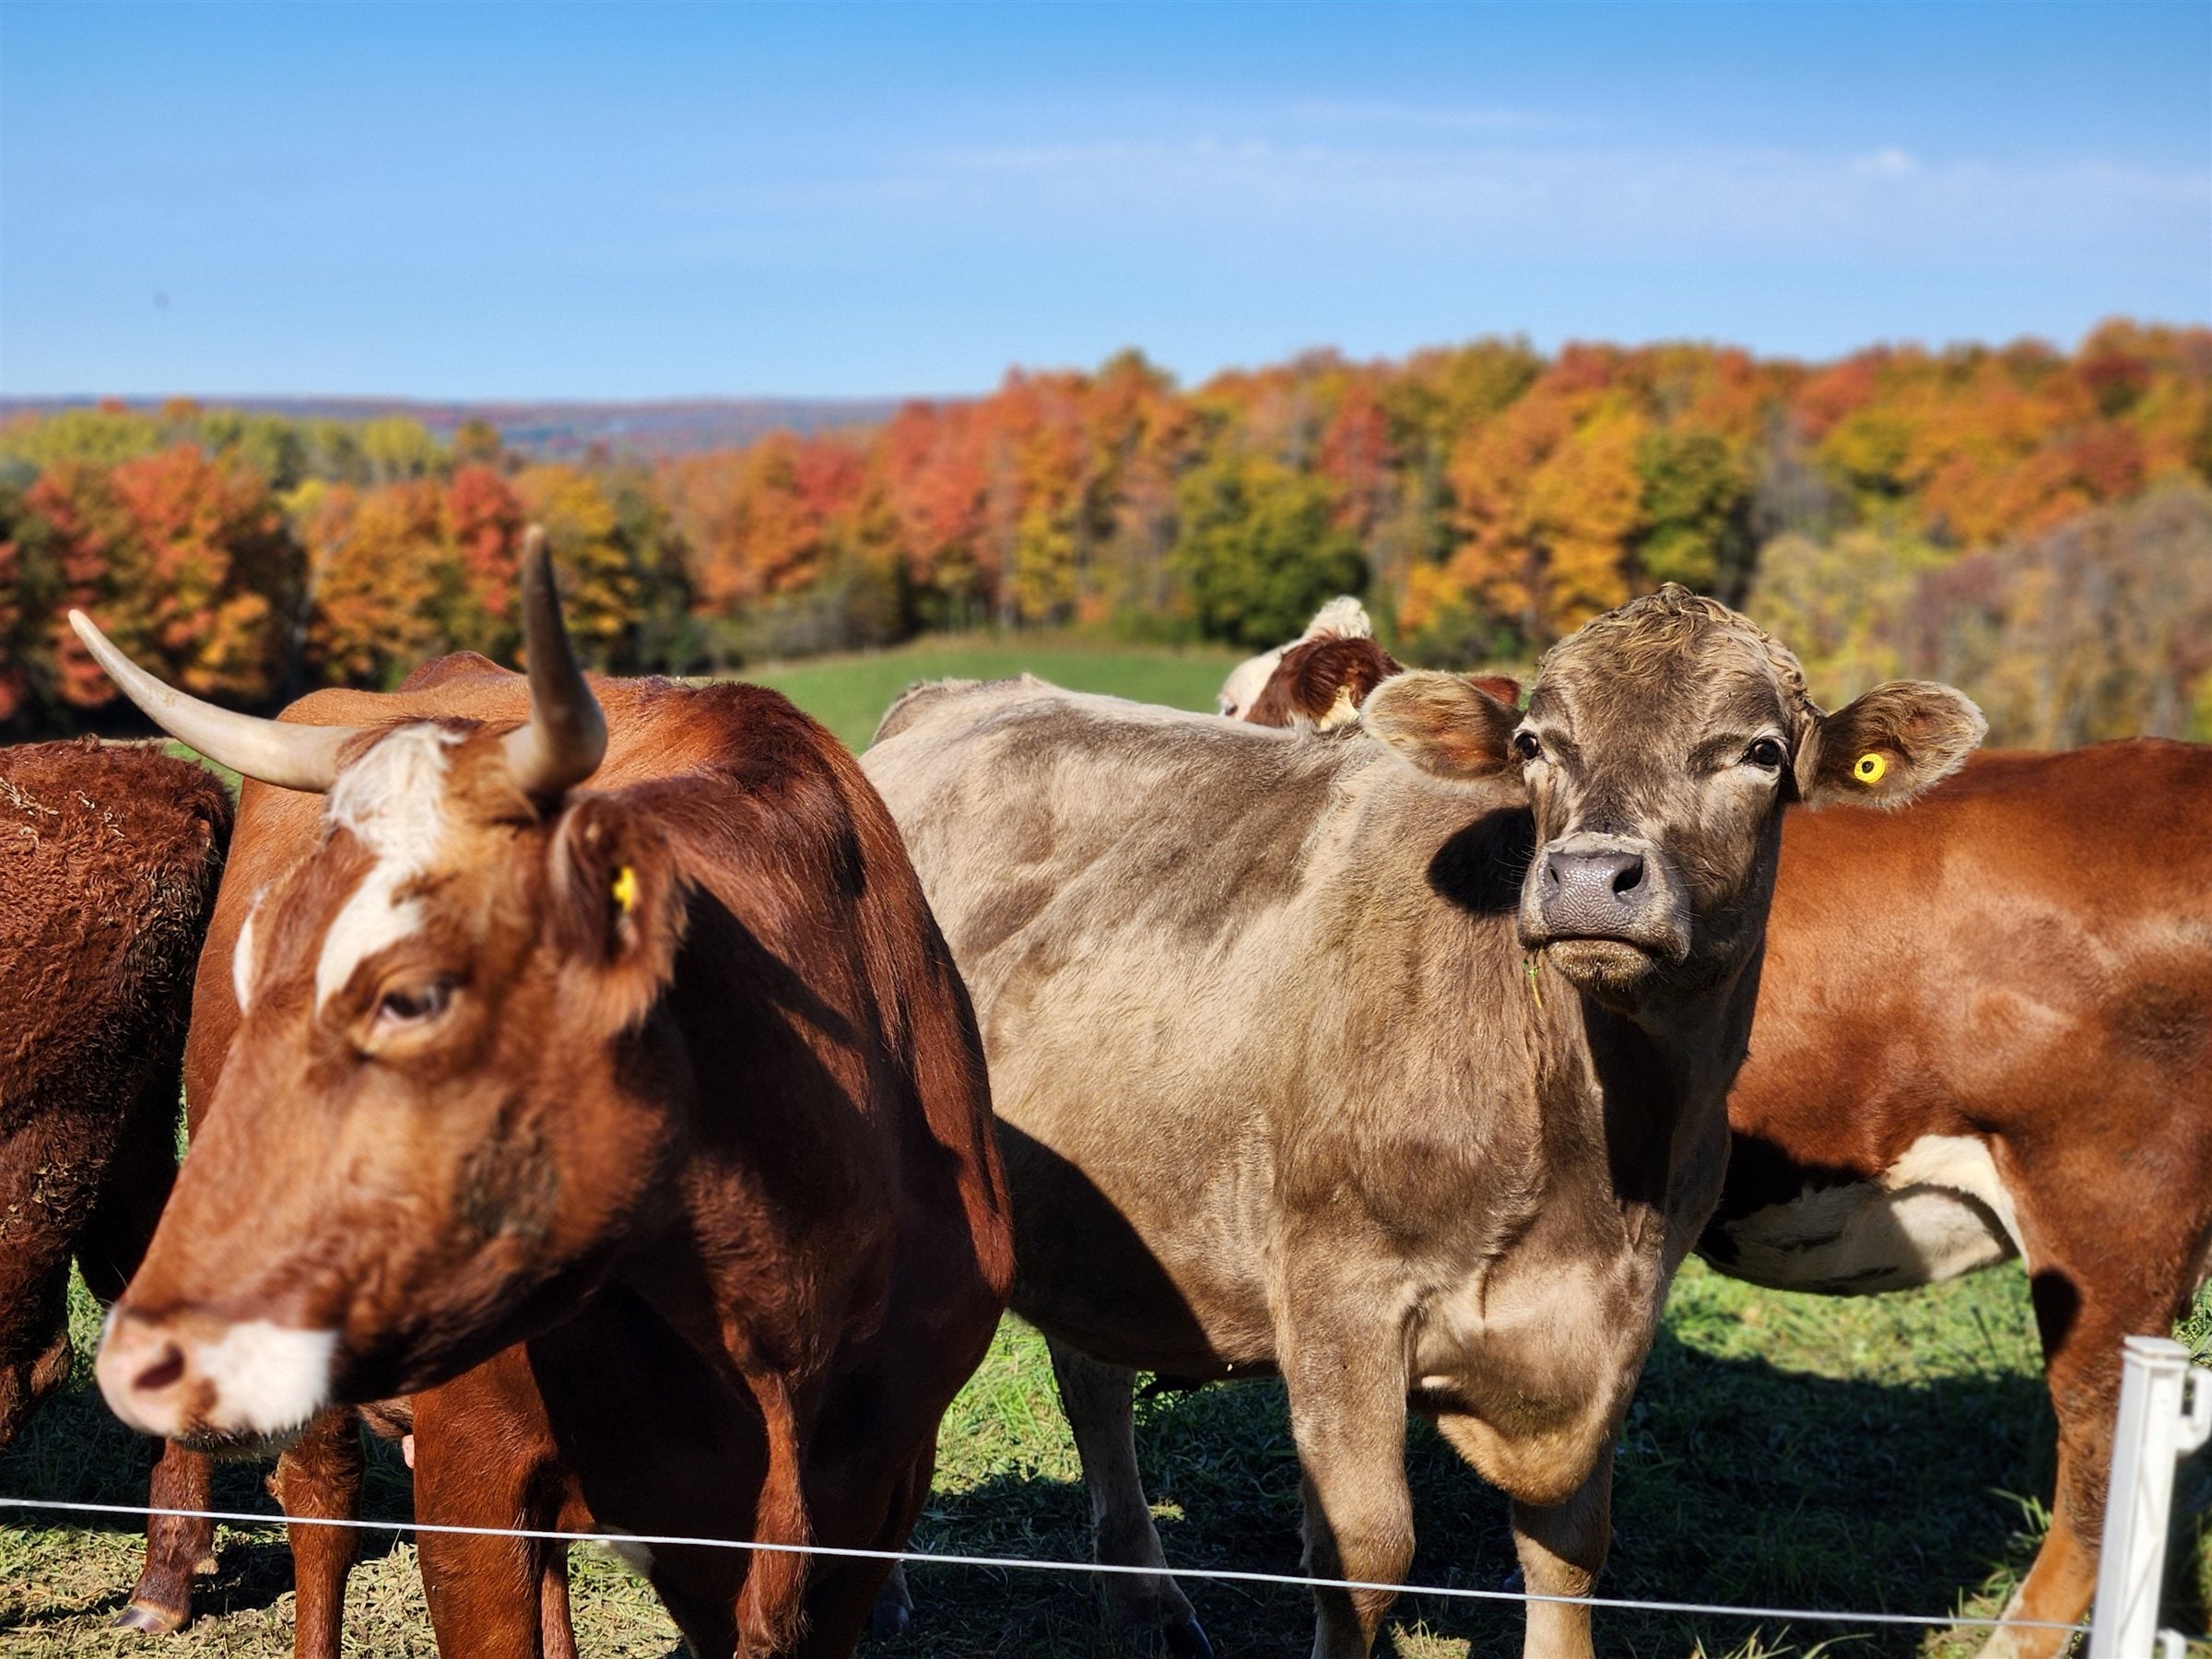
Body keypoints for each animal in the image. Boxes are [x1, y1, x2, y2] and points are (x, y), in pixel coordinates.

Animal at [70, 537, 1015, 1659]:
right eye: (257, 966)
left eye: (412, 995)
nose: (143, 1356)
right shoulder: (474, 1471)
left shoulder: (871, 1506)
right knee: (322, 1505)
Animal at [862, 585, 1984, 1659]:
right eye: (1534, 744)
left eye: (1759, 752)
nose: (1589, 878)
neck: (1595, 1155)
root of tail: (950, 695)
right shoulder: (1338, 1295)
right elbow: (1364, 1551)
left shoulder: (1611, 1325)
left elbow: (1570, 1550)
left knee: (1090, 1376)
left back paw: (1145, 1604)